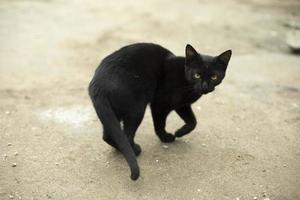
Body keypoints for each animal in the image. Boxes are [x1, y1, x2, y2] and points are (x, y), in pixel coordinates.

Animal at [88, 43, 232, 180]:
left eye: (214, 76)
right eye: (197, 75)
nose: (205, 86)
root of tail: (97, 84)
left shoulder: (182, 105)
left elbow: (193, 121)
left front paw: (179, 132)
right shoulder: (160, 104)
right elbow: (160, 124)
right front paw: (166, 137)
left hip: (112, 112)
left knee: (109, 135)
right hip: (136, 109)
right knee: (126, 135)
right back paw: (135, 150)